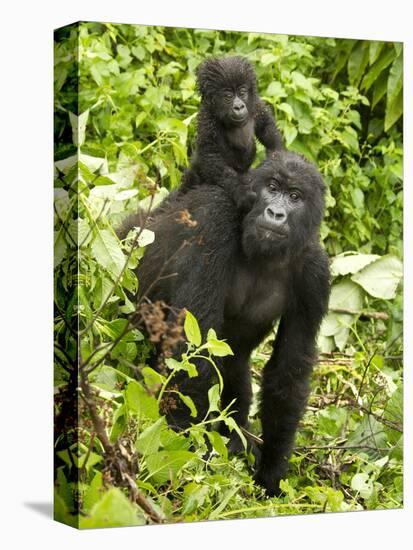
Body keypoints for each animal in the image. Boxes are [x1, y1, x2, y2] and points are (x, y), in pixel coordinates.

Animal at [119, 152, 328, 500]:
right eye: (273, 188)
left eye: (295, 196)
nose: (276, 212)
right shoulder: (215, 217)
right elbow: (193, 347)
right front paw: (182, 454)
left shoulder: (315, 272)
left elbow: (288, 373)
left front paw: (271, 473)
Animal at [180, 56, 284, 211]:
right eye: (228, 95)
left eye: (242, 92)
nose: (239, 106)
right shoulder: (207, 120)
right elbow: (212, 156)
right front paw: (241, 191)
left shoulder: (255, 104)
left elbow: (266, 127)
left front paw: (278, 157)